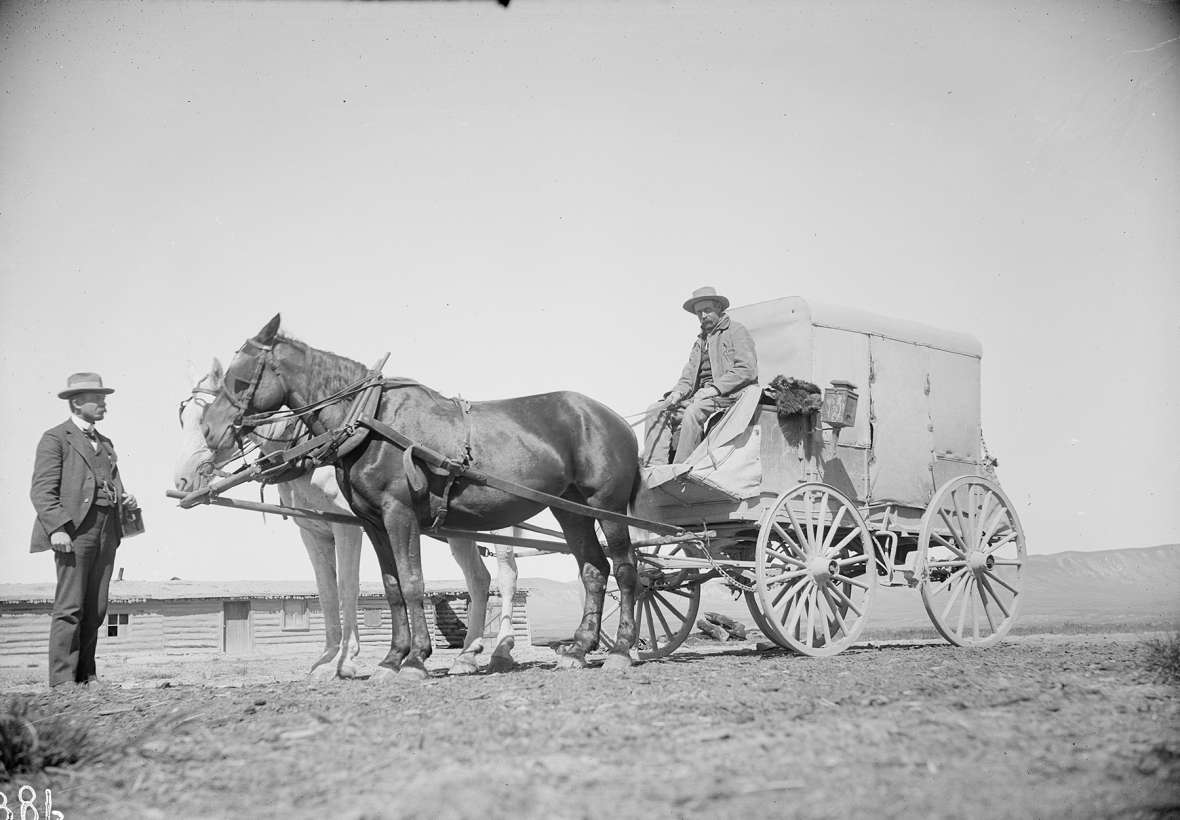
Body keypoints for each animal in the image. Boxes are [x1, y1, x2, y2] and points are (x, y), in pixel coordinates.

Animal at [175, 363, 521, 674]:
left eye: (207, 419)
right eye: (184, 417)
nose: (182, 480)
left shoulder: (348, 527)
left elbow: (347, 587)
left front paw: (347, 659)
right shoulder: (311, 529)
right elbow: (325, 590)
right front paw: (326, 659)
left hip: (500, 523)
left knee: (506, 577)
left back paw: (501, 650)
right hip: (459, 528)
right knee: (478, 578)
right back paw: (467, 655)